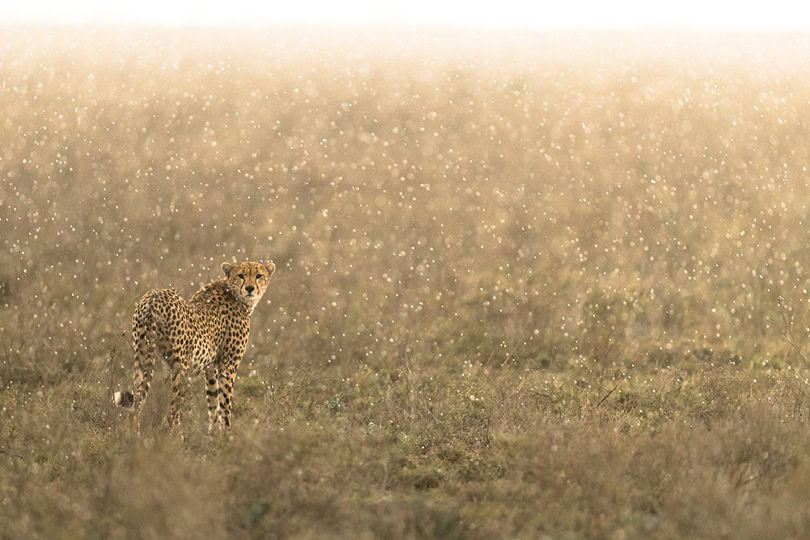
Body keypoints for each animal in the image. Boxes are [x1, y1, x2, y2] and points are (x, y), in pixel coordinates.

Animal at [113, 260, 276, 432]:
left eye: (259, 276)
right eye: (241, 275)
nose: (250, 288)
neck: (234, 294)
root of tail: (154, 298)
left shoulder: (211, 368)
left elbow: (213, 404)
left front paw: (214, 434)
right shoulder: (228, 367)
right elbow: (225, 406)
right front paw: (227, 435)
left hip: (141, 355)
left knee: (136, 405)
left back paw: (132, 436)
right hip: (181, 366)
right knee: (172, 412)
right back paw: (178, 437)